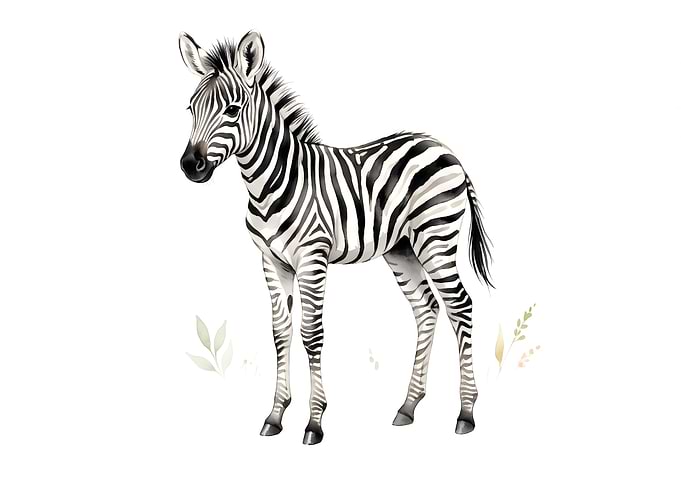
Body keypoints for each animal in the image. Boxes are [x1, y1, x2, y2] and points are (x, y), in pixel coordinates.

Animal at [178, 31, 493, 445]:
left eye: (232, 110)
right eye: (190, 109)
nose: (190, 166)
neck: (271, 183)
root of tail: (445, 149)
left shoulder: (312, 256)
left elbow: (312, 334)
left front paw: (314, 423)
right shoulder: (272, 261)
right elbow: (280, 333)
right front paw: (275, 416)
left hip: (436, 238)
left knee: (461, 306)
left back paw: (467, 412)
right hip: (402, 249)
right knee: (426, 307)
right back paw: (408, 406)